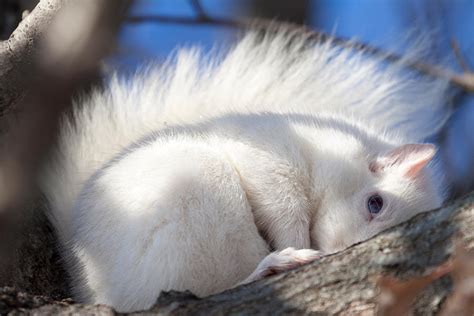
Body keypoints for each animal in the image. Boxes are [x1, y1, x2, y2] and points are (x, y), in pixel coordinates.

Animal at [39, 26, 448, 312]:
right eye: (375, 204)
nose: (342, 251)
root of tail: (92, 286)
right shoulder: (272, 160)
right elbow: (280, 207)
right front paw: (297, 243)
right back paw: (274, 263)